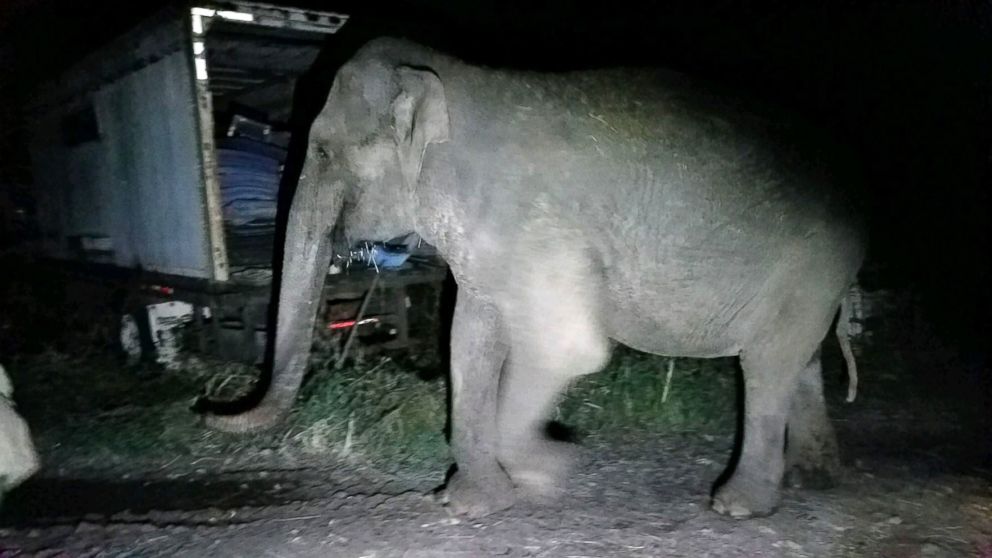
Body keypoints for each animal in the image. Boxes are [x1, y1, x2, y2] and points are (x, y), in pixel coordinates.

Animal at [205, 38, 864, 520]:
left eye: (319, 153)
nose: (211, 409)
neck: (449, 83)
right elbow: (468, 339)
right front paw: (470, 501)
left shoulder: (537, 228)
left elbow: (568, 348)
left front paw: (555, 463)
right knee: (797, 361)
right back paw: (813, 479)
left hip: (810, 265)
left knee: (767, 367)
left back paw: (737, 506)